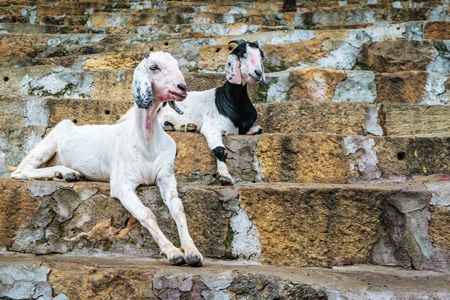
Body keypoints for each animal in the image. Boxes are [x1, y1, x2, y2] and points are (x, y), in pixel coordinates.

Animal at [10, 51, 204, 268]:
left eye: (177, 65)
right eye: (154, 67)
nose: (182, 87)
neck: (146, 141)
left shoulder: (166, 176)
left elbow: (178, 208)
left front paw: (192, 252)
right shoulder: (122, 184)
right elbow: (147, 213)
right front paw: (173, 252)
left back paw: (65, 174)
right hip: (49, 141)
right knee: (21, 170)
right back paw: (67, 172)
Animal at [119, 39, 268, 185]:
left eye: (261, 55)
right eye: (243, 54)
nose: (258, 73)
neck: (231, 101)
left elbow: (259, 129)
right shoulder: (212, 127)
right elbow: (220, 149)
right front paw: (225, 176)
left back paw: (183, 126)